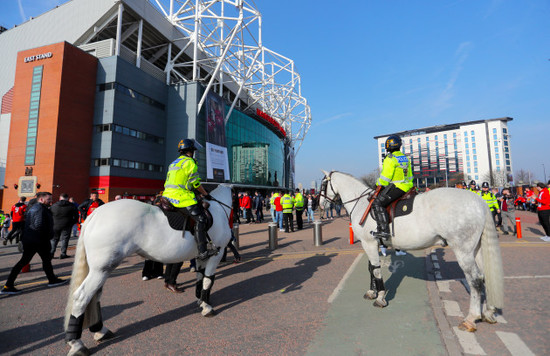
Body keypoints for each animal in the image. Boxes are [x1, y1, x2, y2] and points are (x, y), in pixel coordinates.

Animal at [64, 185, 233, 354]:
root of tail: (94, 215)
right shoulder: (216, 254)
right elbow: (208, 280)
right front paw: (207, 307)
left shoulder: (200, 258)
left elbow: (200, 279)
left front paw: (201, 300)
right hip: (101, 270)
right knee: (82, 297)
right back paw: (76, 343)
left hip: (100, 270)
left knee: (94, 297)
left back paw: (100, 331)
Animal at [320, 171, 504, 332]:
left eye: (322, 185)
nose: (320, 205)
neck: (362, 205)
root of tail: (479, 201)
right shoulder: (370, 244)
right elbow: (371, 268)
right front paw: (372, 292)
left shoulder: (369, 243)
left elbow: (376, 271)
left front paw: (380, 297)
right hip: (476, 249)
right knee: (485, 276)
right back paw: (488, 312)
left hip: (463, 250)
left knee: (475, 280)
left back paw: (471, 318)